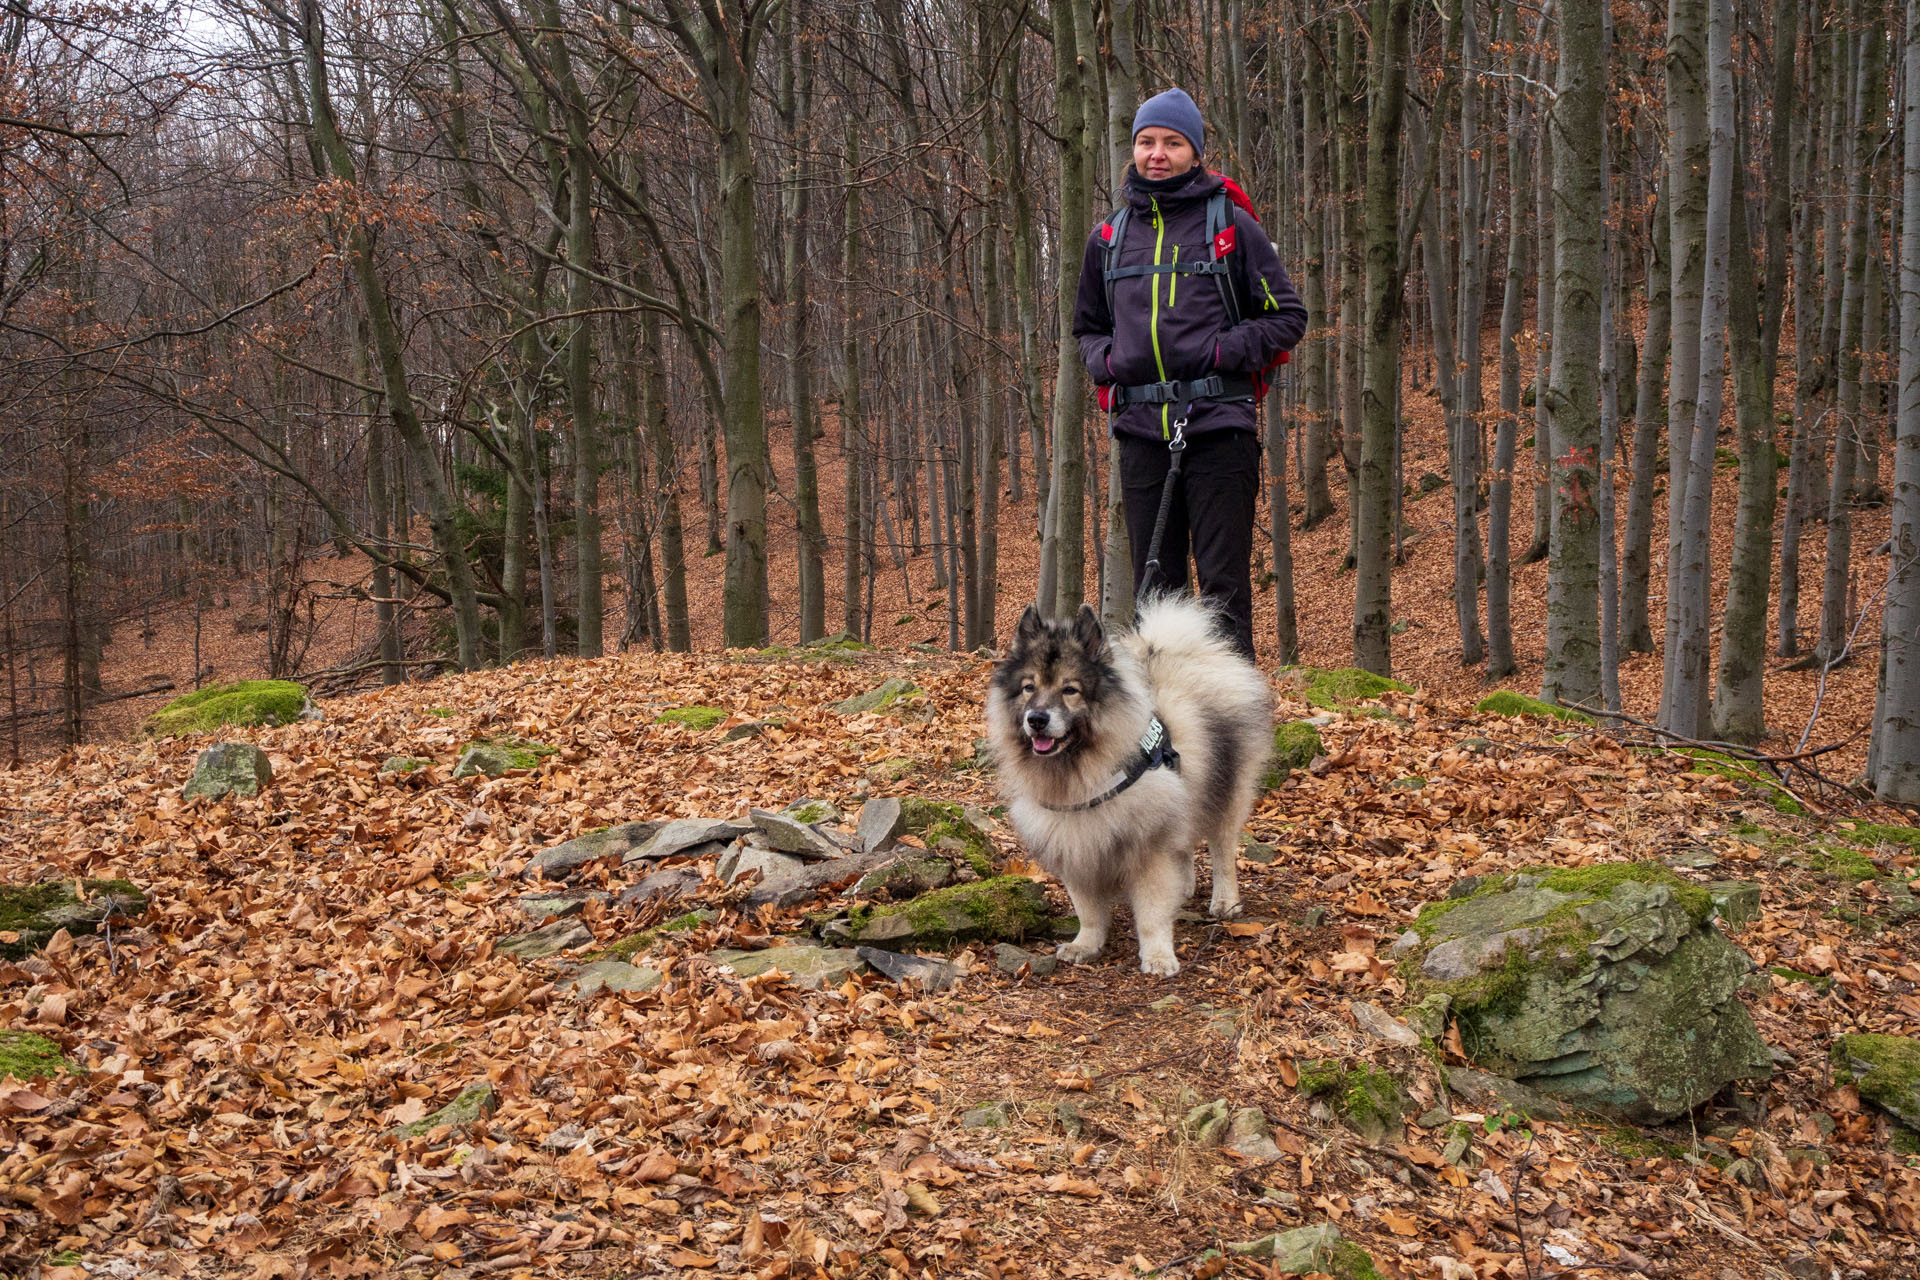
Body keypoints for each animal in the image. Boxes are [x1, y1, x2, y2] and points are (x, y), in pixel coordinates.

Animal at [990, 594, 1274, 974]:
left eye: (1070, 690)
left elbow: (1152, 914)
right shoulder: (1074, 846)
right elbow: (1088, 910)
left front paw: (1158, 956)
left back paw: (1225, 900)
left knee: (1222, 849)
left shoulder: (1149, 848)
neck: (1083, 773)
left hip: (1225, 792)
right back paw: (1185, 886)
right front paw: (1085, 944)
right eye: (1028, 688)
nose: (1036, 719)